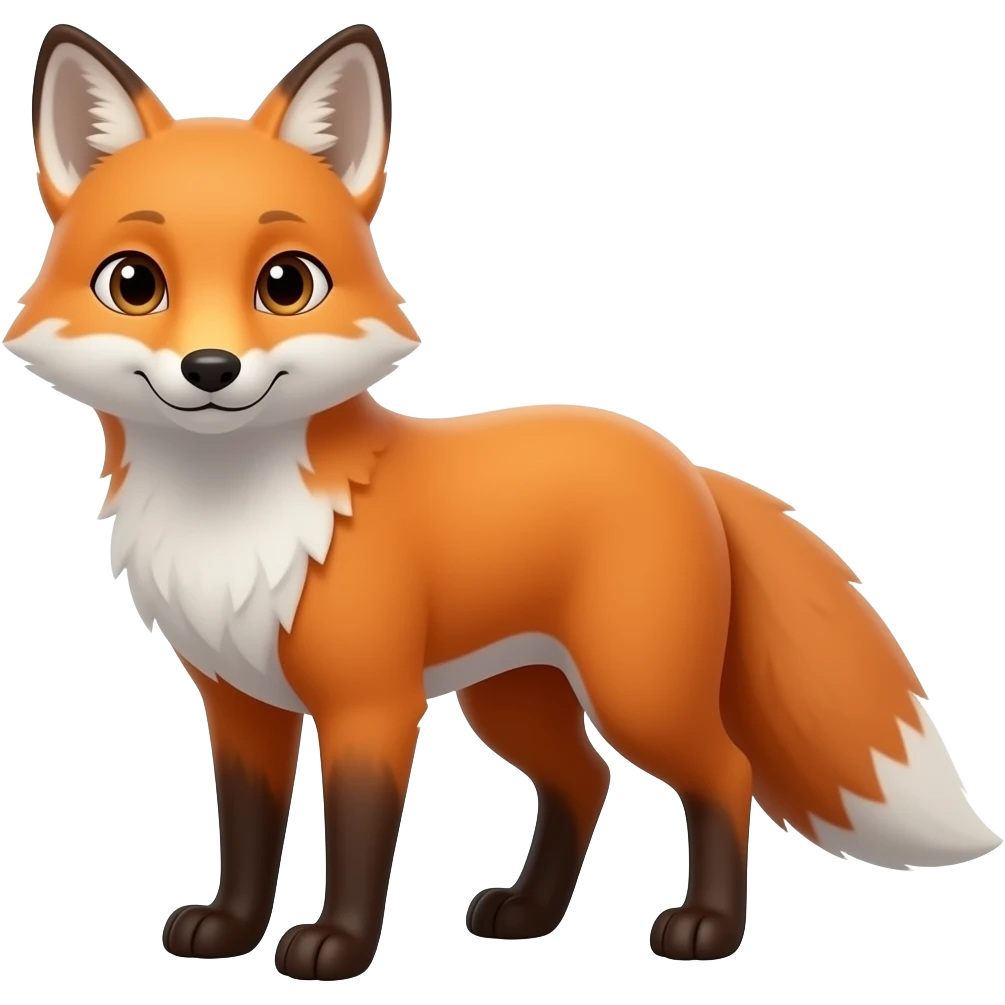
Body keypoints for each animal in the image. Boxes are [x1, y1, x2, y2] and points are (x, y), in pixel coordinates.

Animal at [6, 21, 1001, 981]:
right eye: (134, 282)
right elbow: (246, 835)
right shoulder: (240, 702)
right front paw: (231, 928)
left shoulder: (372, 703)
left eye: (285, 283)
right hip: (513, 697)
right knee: (585, 779)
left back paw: (706, 928)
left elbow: (358, 840)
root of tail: (684, 461)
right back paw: (529, 914)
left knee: (725, 770)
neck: (232, 516)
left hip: (635, 689)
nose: (209, 369)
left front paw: (338, 947)